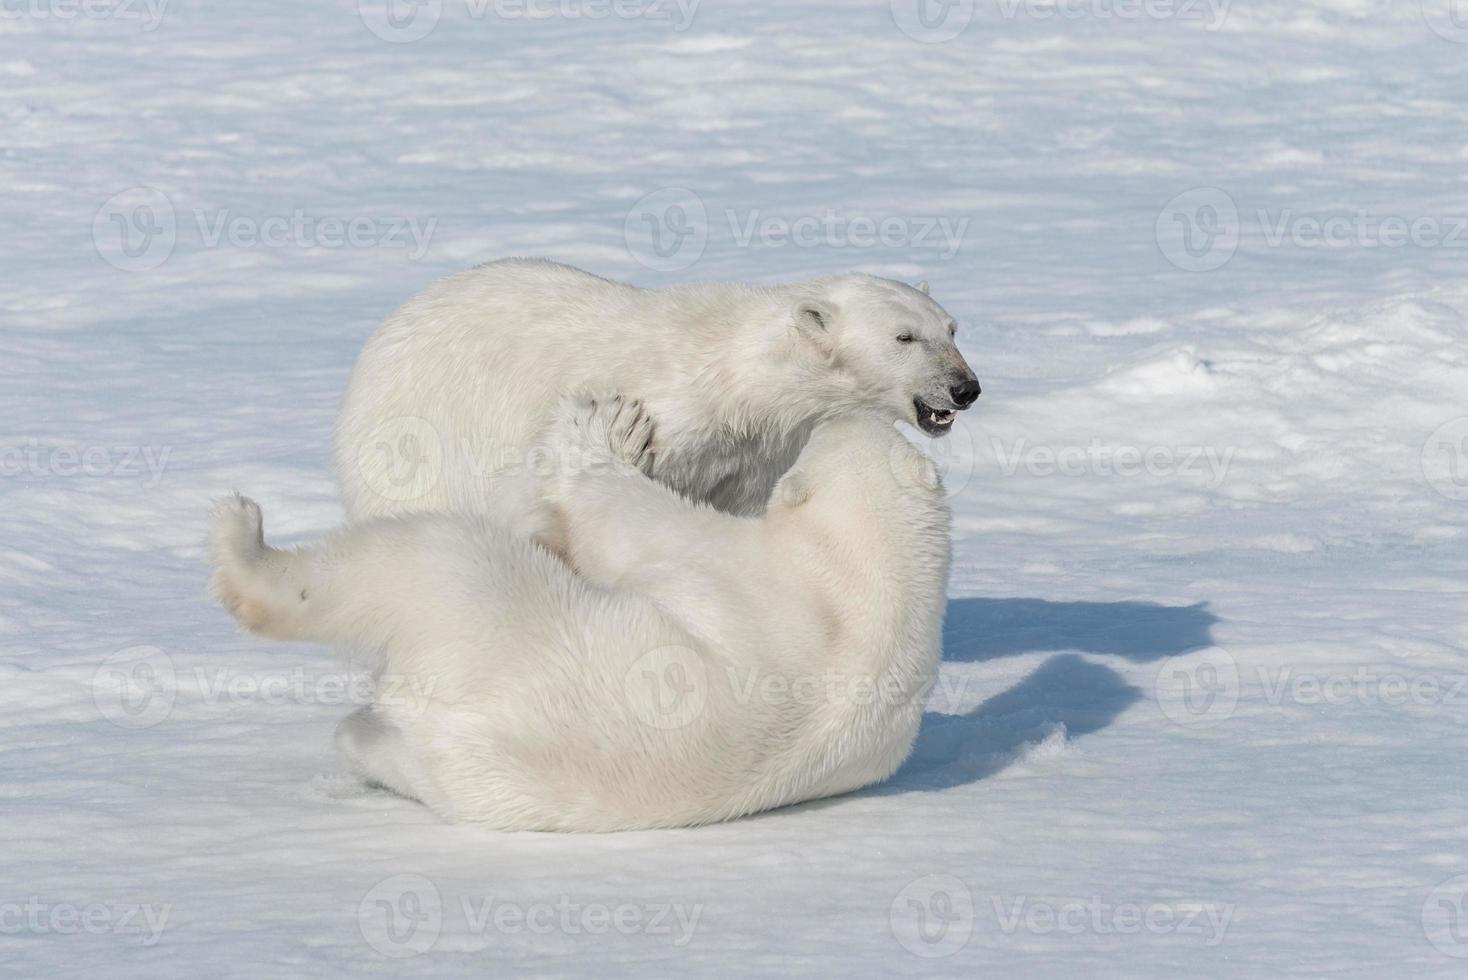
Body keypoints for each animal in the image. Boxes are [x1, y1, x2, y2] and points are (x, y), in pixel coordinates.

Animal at [209, 393, 951, 833]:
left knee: (412, 556)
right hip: (461, 780)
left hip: (481, 609)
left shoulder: (744, 566)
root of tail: (445, 730)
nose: (833, 416)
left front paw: (605, 431)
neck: (873, 583)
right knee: (375, 741)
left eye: (824, 441)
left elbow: (636, 523)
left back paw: (242, 540)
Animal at [336, 259, 980, 519]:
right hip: (420, 439)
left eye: (951, 329)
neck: (736, 378)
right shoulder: (669, 409)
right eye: (903, 337)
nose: (965, 387)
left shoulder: (754, 455)